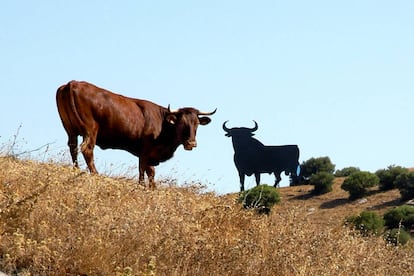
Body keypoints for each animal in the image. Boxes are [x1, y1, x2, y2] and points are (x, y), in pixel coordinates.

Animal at [55, 79, 217, 188]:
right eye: (181, 123)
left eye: (196, 123)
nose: (191, 143)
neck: (163, 123)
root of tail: (73, 83)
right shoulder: (144, 151)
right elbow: (142, 171)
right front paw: (143, 186)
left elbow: (151, 172)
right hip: (90, 130)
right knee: (87, 149)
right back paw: (95, 173)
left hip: (70, 130)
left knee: (73, 147)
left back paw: (76, 169)